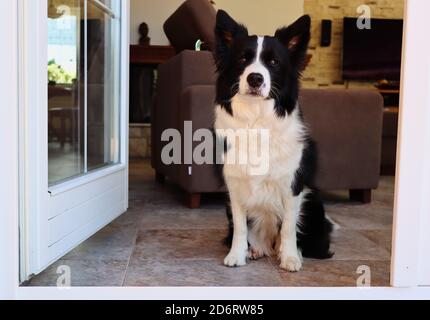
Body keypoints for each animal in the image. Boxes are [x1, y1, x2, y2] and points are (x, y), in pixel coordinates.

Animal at [213, 10, 334, 272]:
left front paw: (289, 258)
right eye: (242, 59)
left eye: (274, 62)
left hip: (313, 202)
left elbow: (288, 226)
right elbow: (240, 226)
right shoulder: (234, 185)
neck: (257, 120)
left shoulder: (293, 185)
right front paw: (237, 255)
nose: (255, 79)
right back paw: (256, 249)